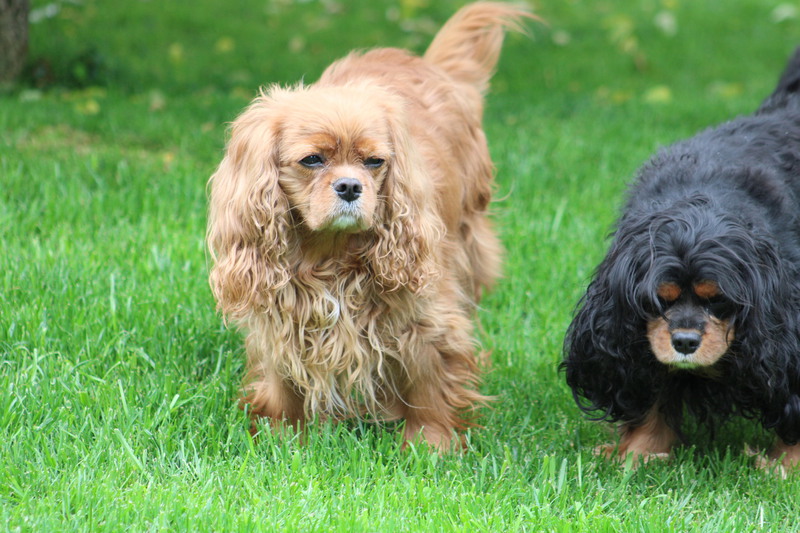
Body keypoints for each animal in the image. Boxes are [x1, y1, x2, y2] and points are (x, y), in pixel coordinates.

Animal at [207, 3, 533, 451]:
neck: (329, 255)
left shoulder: (425, 314)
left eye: (374, 162)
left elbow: (429, 380)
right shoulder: (281, 314)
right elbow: (282, 380)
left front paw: (431, 446)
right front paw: (283, 438)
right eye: (312, 160)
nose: (349, 186)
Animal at [562, 47, 800, 470]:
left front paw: (785, 467)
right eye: (659, 301)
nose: (685, 341)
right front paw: (637, 455)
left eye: (718, 300)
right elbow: (653, 388)